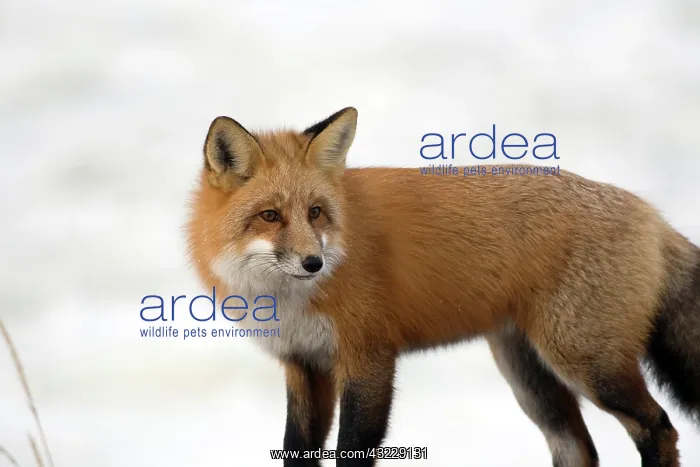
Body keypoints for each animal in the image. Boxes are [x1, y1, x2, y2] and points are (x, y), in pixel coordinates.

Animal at [185, 107, 700, 467]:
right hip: (530, 378)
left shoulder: (369, 359)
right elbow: (296, 448)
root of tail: (650, 212)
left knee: (659, 428)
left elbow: (352, 449)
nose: (314, 262)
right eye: (270, 216)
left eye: (315, 213)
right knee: (578, 448)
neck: (289, 301)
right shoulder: (304, 365)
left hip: (586, 362)